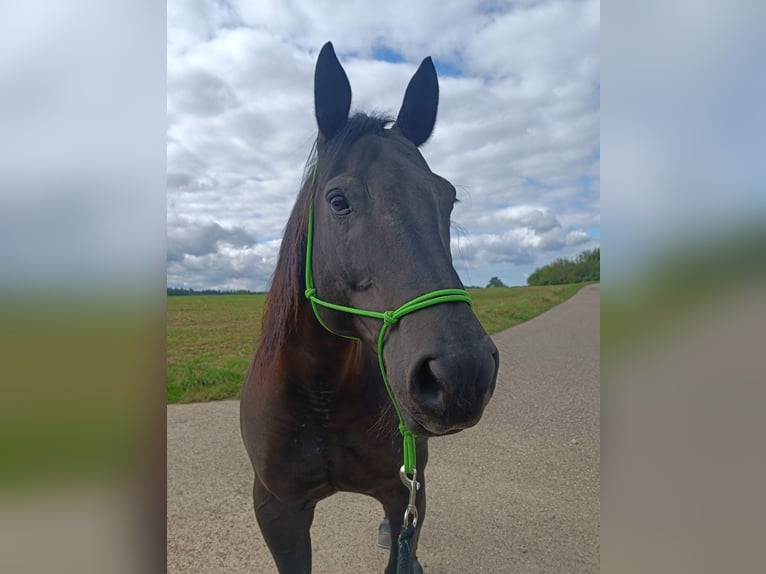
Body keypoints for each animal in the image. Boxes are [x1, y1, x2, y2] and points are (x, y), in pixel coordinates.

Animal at [242, 41, 504, 574]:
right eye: (338, 200)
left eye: (448, 198)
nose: (463, 373)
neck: (320, 395)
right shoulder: (277, 510)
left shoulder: (402, 493)